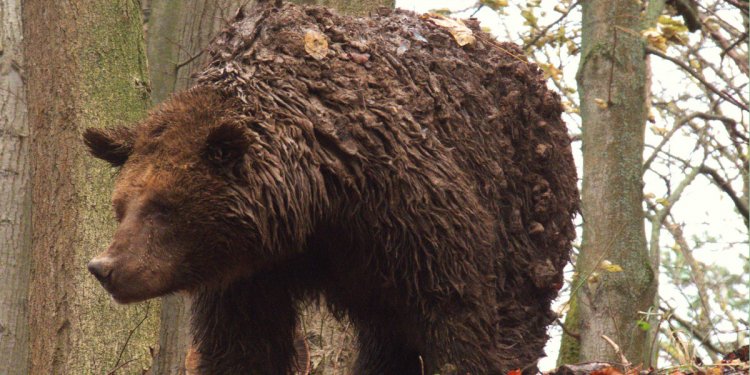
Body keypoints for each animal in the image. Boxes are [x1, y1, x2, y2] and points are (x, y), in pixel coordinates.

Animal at [85, 3, 580, 375]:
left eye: (163, 206)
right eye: (121, 206)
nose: (104, 267)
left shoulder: (407, 209)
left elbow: (457, 316)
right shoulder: (252, 276)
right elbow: (242, 344)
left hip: (524, 213)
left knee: (514, 317)